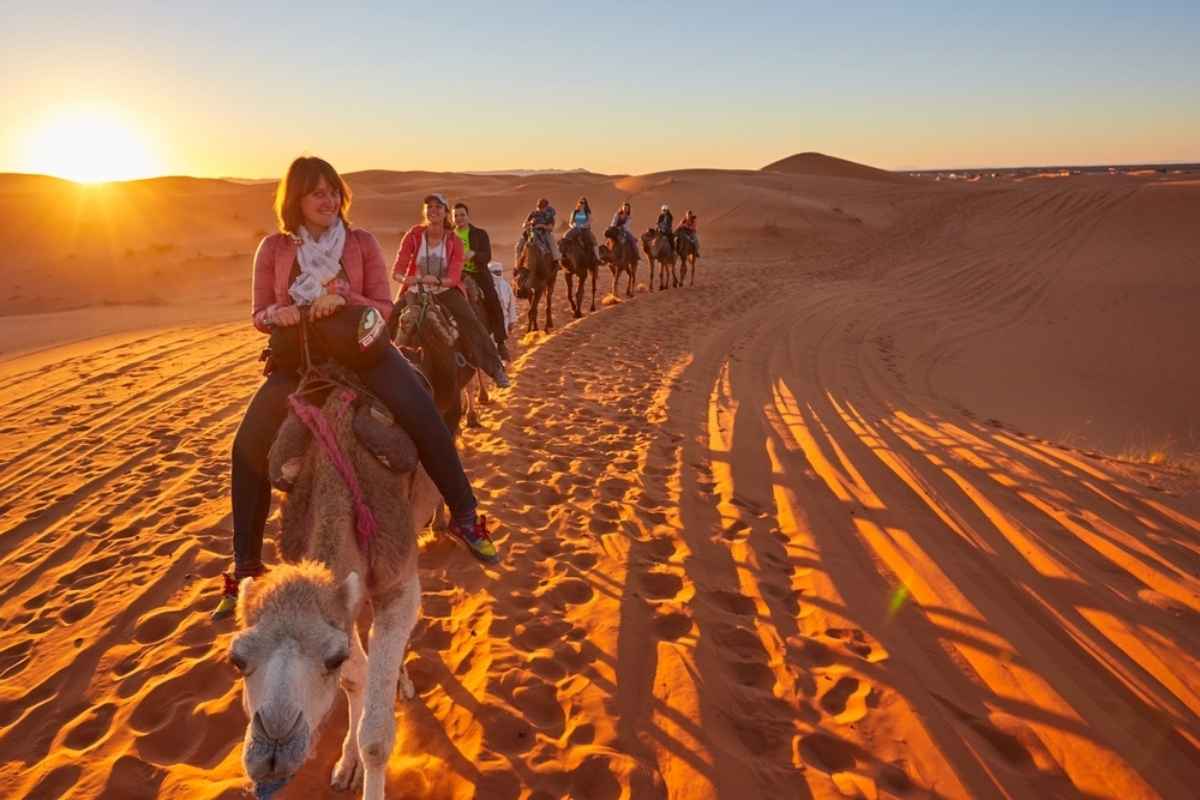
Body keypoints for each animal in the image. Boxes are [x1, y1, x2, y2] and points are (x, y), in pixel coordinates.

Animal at [228, 371, 441, 796]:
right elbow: (357, 679)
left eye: (331, 658)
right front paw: (346, 766)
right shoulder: (343, 602)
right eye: (237, 659)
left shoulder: (398, 583)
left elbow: (376, 739)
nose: (272, 752)